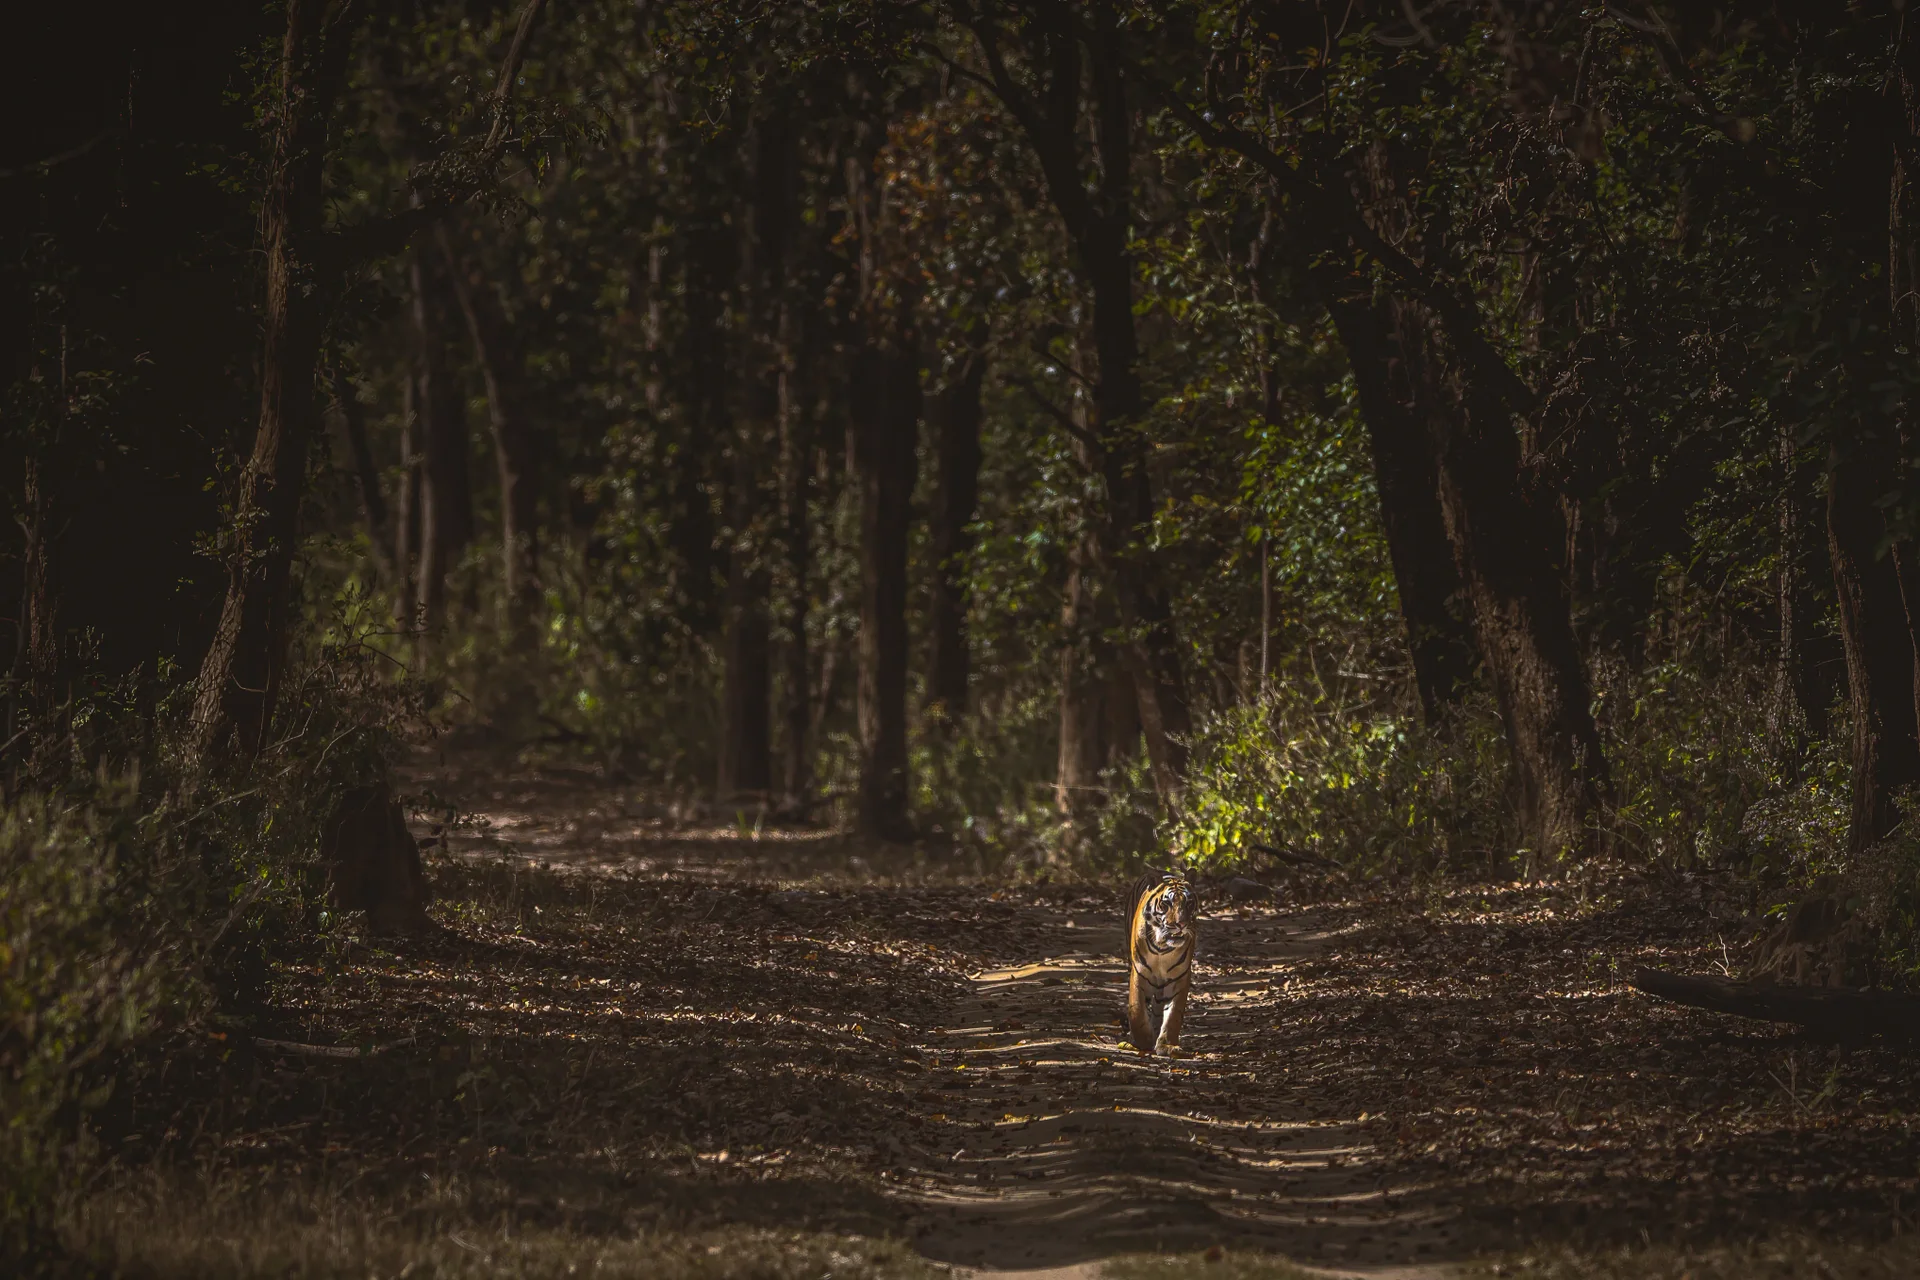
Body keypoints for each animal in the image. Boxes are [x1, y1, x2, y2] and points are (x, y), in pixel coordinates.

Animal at [1127, 870, 1198, 1056]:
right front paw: (1143, 1040)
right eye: (1166, 904)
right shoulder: (1139, 972)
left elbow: (1173, 1015)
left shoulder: (1180, 977)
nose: (1181, 924)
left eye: (1189, 903)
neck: (1162, 947)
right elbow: (1137, 1009)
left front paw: (1167, 1045)